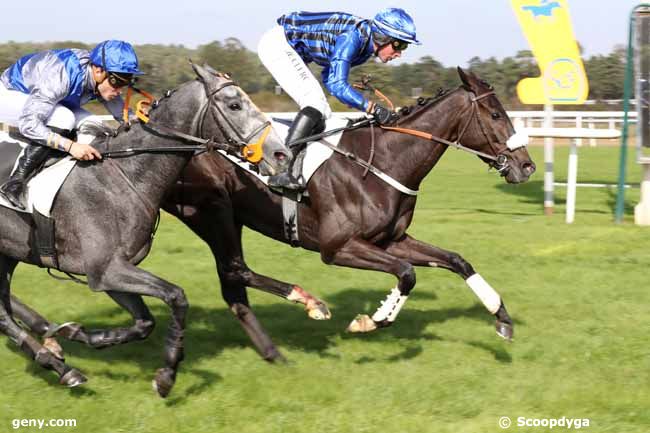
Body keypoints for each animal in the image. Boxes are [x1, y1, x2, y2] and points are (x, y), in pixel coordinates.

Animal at [0, 62, 290, 396]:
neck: (123, 174)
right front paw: (167, 374)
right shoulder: (106, 269)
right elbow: (176, 296)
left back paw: (59, 363)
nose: (281, 154)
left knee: (4, 313)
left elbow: (144, 323)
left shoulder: (110, 271)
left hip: (8, 254)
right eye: (234, 105)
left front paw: (74, 333)